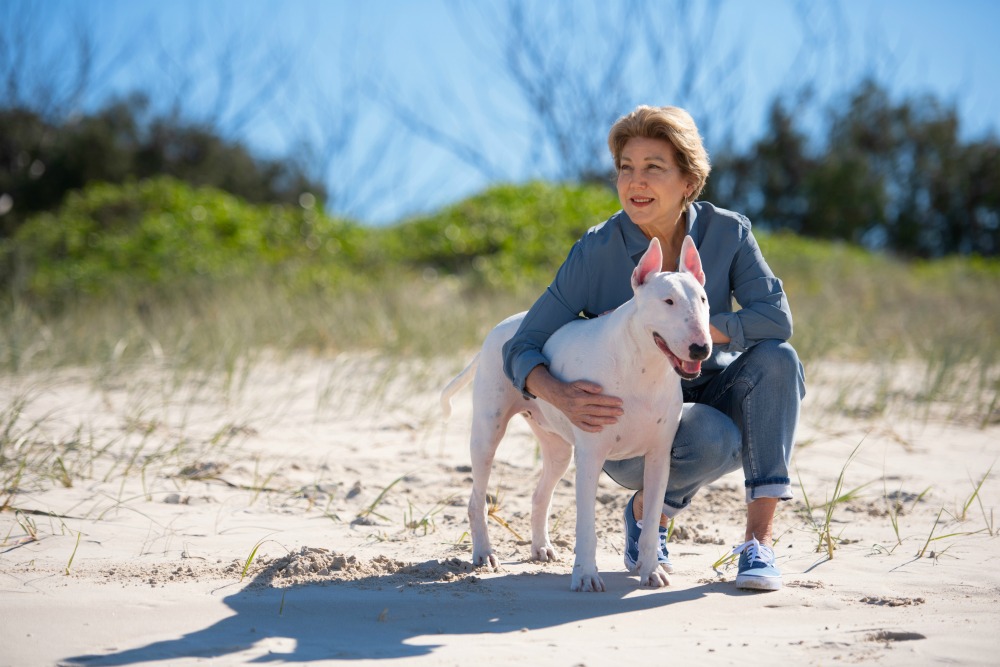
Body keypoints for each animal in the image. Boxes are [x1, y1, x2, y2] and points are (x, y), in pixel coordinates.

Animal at [440, 237, 712, 592]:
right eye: (667, 301)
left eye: (703, 299)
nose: (701, 348)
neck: (643, 365)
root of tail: (501, 328)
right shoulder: (591, 455)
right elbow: (586, 526)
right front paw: (585, 576)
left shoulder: (659, 458)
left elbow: (652, 520)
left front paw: (651, 571)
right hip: (489, 430)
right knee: (477, 498)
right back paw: (484, 553)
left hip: (557, 447)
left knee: (540, 495)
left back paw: (541, 547)